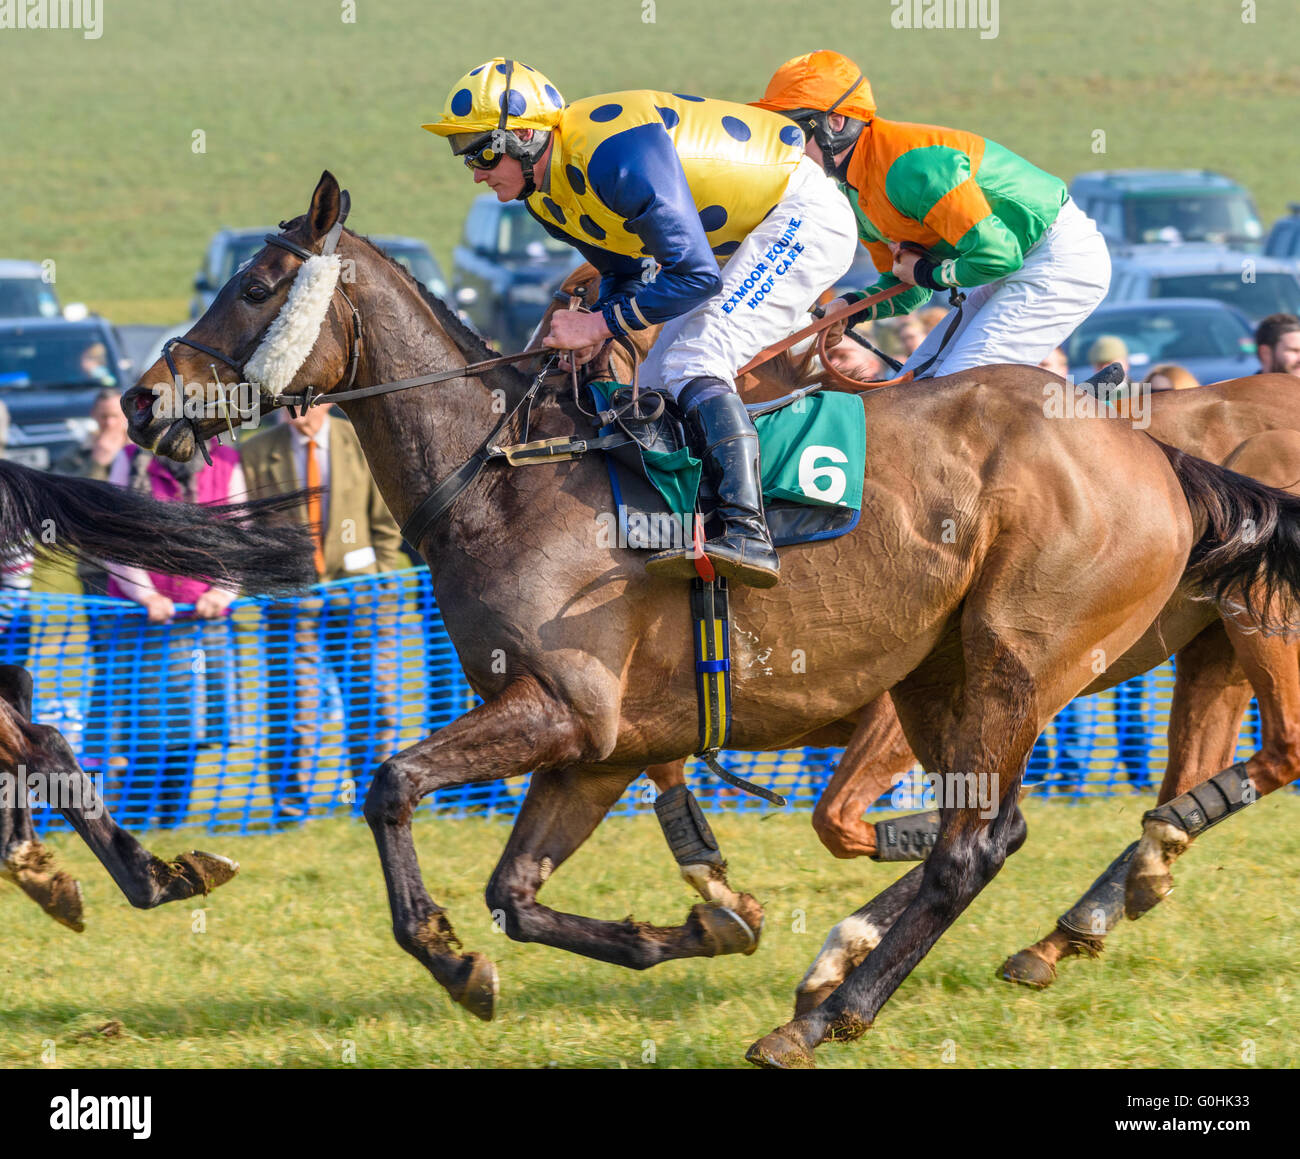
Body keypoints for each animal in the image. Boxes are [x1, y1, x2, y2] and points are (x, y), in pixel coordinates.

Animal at [122, 171, 1300, 1070]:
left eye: (259, 284)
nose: (141, 401)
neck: (507, 474)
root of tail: (1150, 449)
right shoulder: (597, 744)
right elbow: (517, 891)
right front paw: (699, 920)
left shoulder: (558, 709)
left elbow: (392, 784)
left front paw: (453, 960)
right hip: (957, 678)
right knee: (1009, 825)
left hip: (1025, 662)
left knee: (977, 844)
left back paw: (825, 1015)